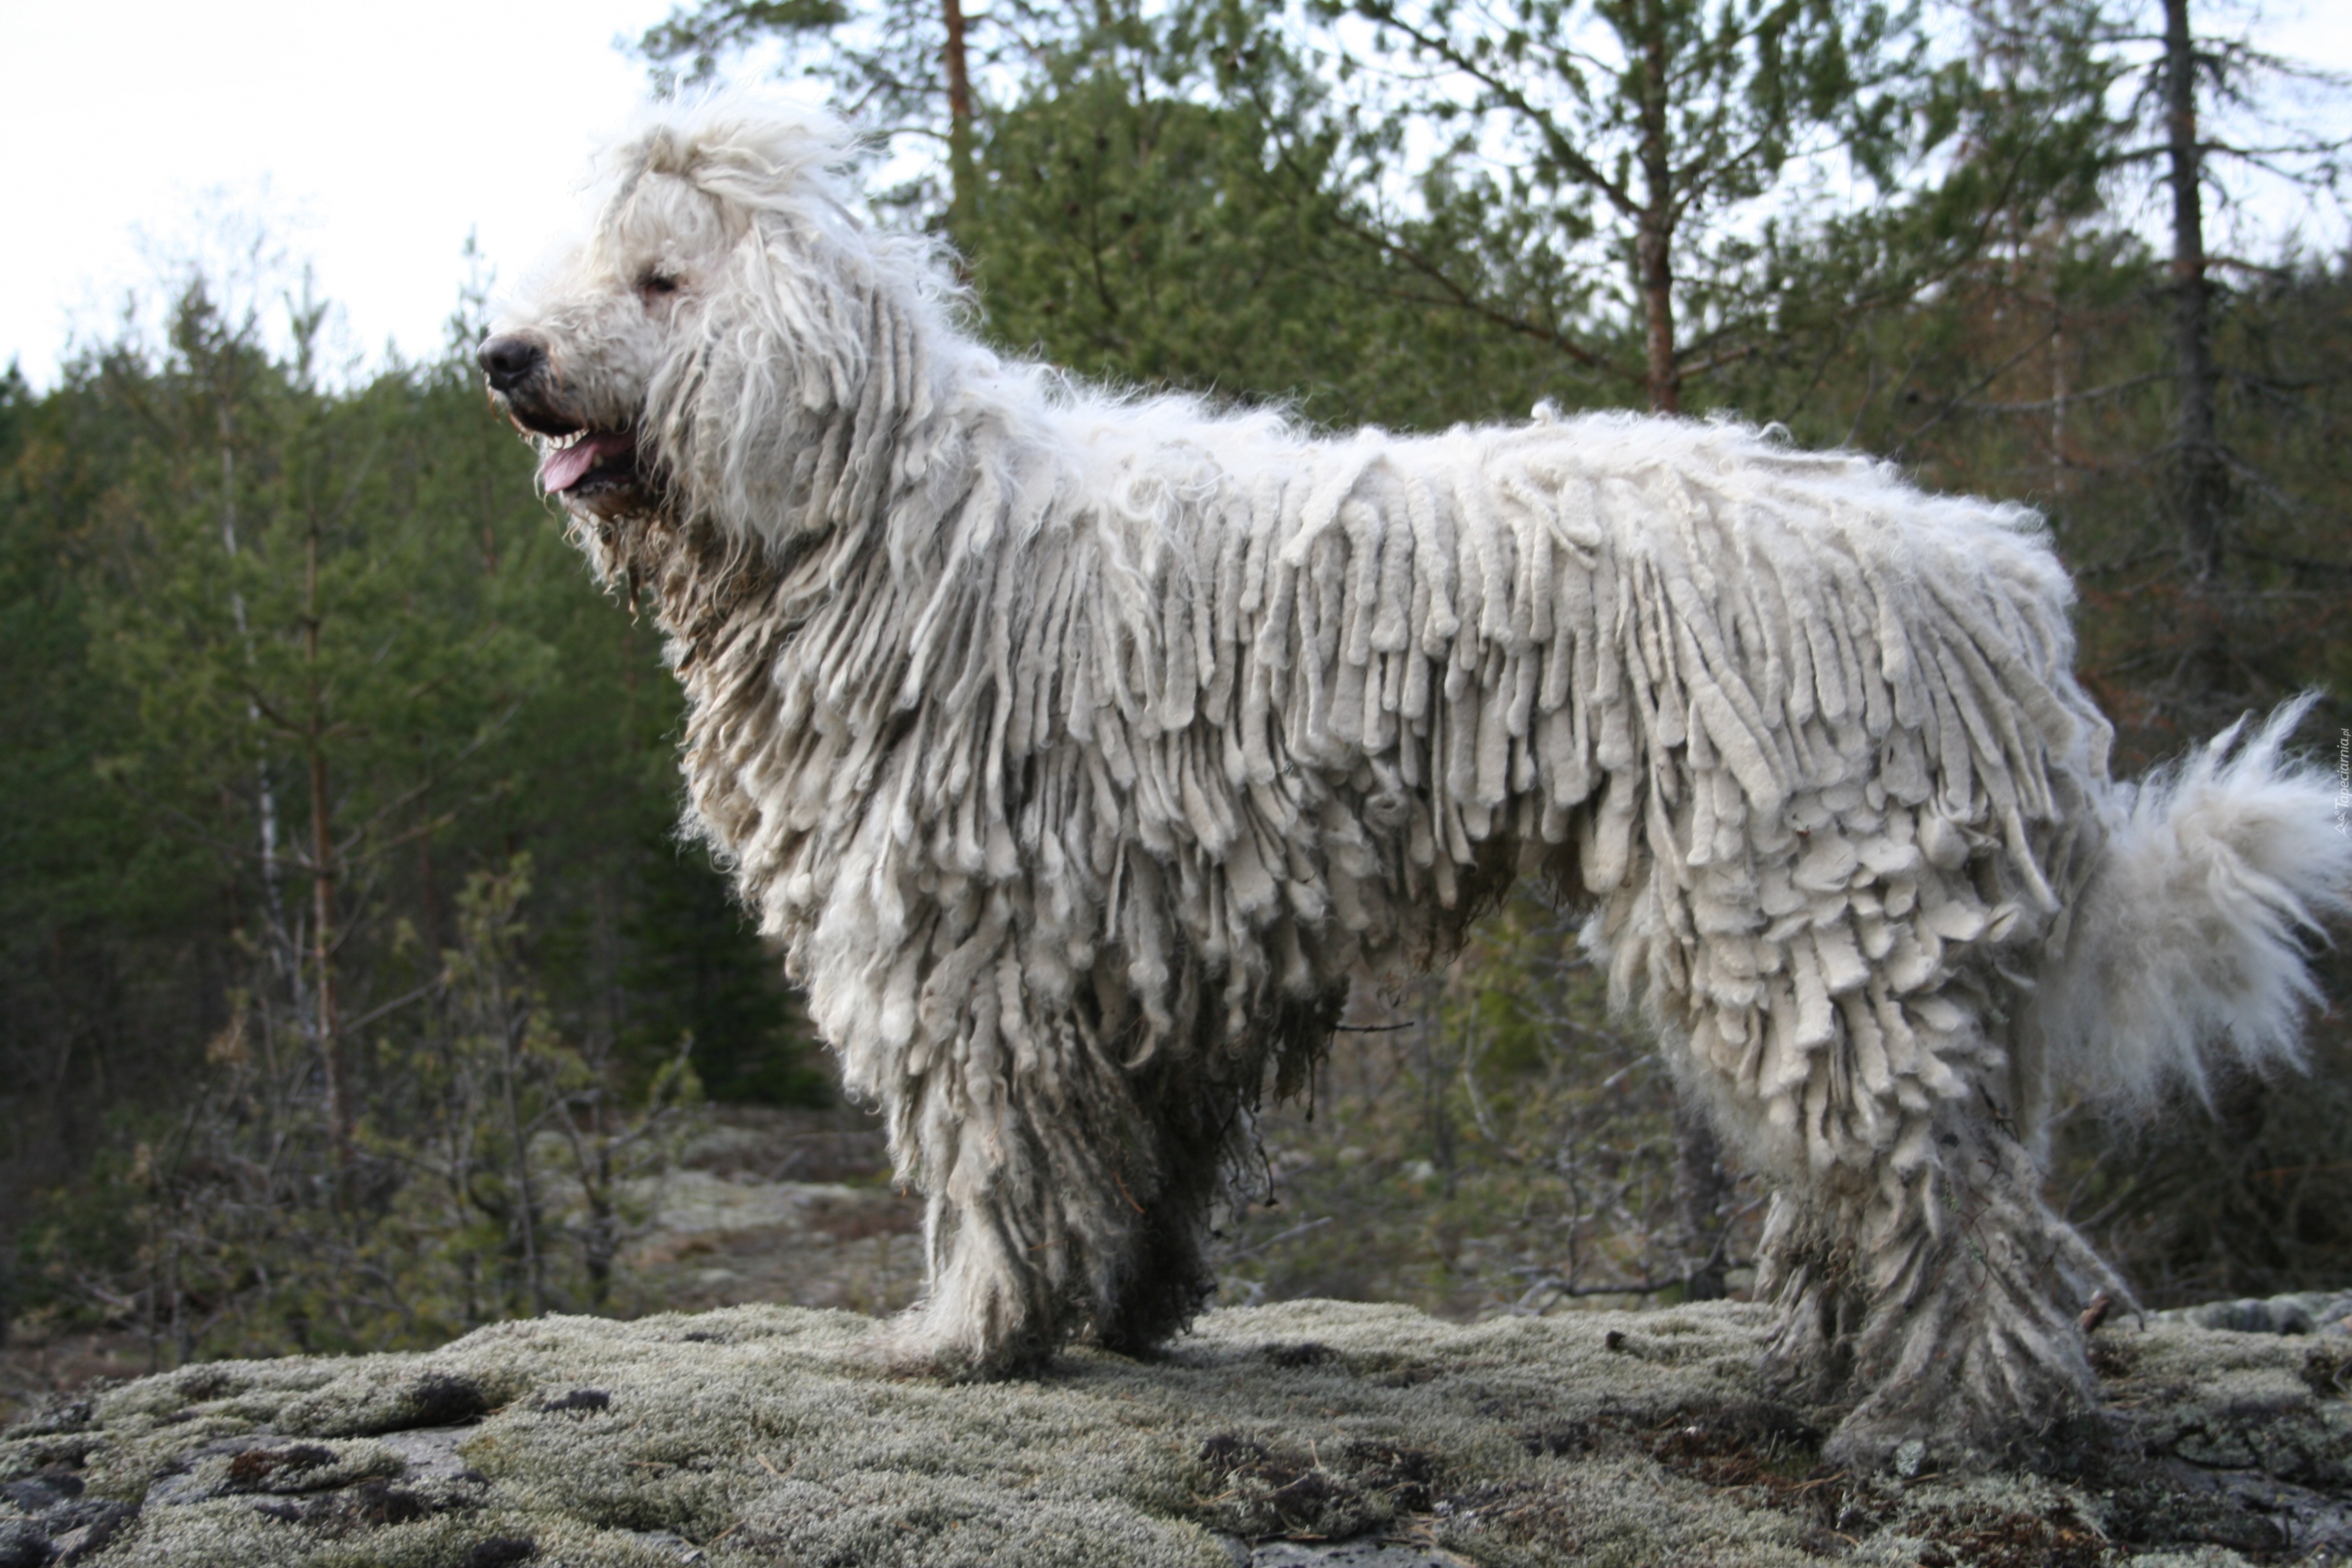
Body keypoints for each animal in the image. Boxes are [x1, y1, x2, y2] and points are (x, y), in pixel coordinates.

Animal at [482, 108, 2352, 1476]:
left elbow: (994, 1156)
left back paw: (1935, 1419)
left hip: (1819, 892)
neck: (876, 526)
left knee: (1948, 1196)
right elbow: (1140, 1158)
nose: (504, 356)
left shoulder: (966, 944)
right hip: (1817, 932)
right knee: (1890, 1175)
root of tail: (2000, 593)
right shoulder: (1156, 952)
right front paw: (1122, 1311)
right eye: (590, 276)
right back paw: (1833, 1371)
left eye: (659, 281)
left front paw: (963, 1336)